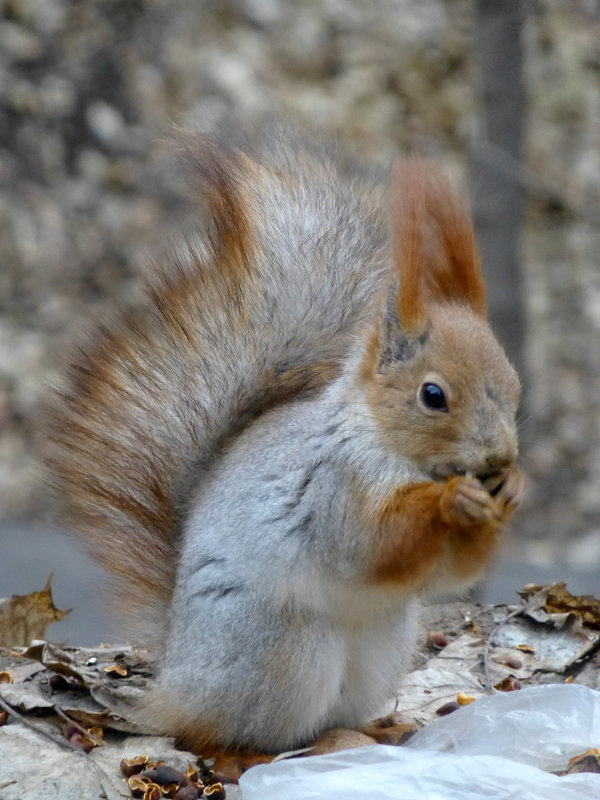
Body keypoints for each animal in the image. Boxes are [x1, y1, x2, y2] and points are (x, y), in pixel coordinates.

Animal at [48, 126, 524, 756]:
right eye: (433, 395)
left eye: (514, 384)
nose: (501, 456)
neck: (389, 446)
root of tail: (175, 677)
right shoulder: (332, 484)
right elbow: (369, 543)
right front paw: (453, 501)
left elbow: (453, 573)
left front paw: (509, 491)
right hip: (283, 649)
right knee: (225, 729)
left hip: (384, 644)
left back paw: (378, 728)